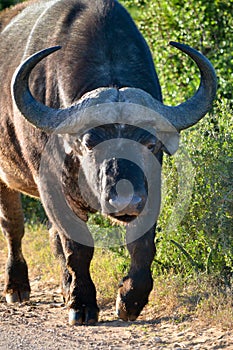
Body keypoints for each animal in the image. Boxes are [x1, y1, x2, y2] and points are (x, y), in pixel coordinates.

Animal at [0, 0, 217, 324]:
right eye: (90, 142)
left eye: (150, 143)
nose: (125, 200)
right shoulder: (51, 188)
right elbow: (76, 247)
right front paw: (81, 304)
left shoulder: (151, 188)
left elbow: (142, 245)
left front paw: (129, 299)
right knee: (13, 227)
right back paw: (17, 287)